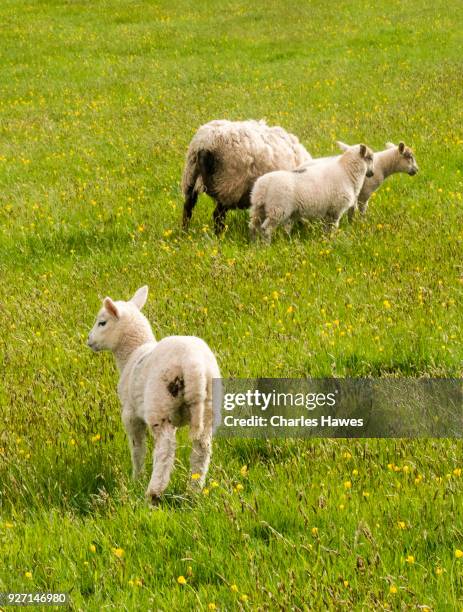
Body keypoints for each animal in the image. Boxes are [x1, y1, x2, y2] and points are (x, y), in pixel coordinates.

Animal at [87, 286, 221, 502]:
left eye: (102, 322)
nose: (88, 340)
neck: (132, 354)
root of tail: (194, 364)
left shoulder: (130, 414)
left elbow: (137, 448)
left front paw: (137, 478)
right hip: (208, 405)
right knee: (202, 448)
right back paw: (193, 490)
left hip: (160, 404)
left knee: (165, 450)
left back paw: (153, 493)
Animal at [181, 118, 312, 233]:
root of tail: (206, 143)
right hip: (228, 185)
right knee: (217, 215)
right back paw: (219, 236)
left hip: (190, 177)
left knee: (187, 208)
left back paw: (184, 232)